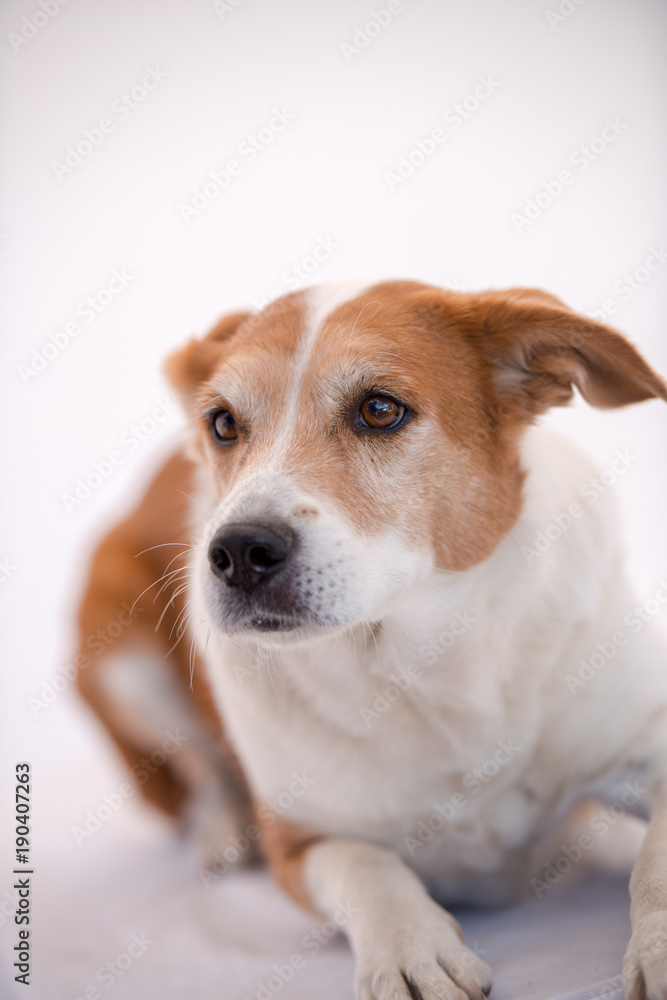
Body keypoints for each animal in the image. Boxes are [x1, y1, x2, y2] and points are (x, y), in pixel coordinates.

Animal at [75, 282, 667, 1000]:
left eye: (380, 409)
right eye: (222, 423)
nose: (238, 552)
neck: (428, 667)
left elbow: (656, 861)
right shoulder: (301, 842)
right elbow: (366, 865)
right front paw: (410, 950)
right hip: (120, 654)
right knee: (198, 765)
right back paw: (221, 830)